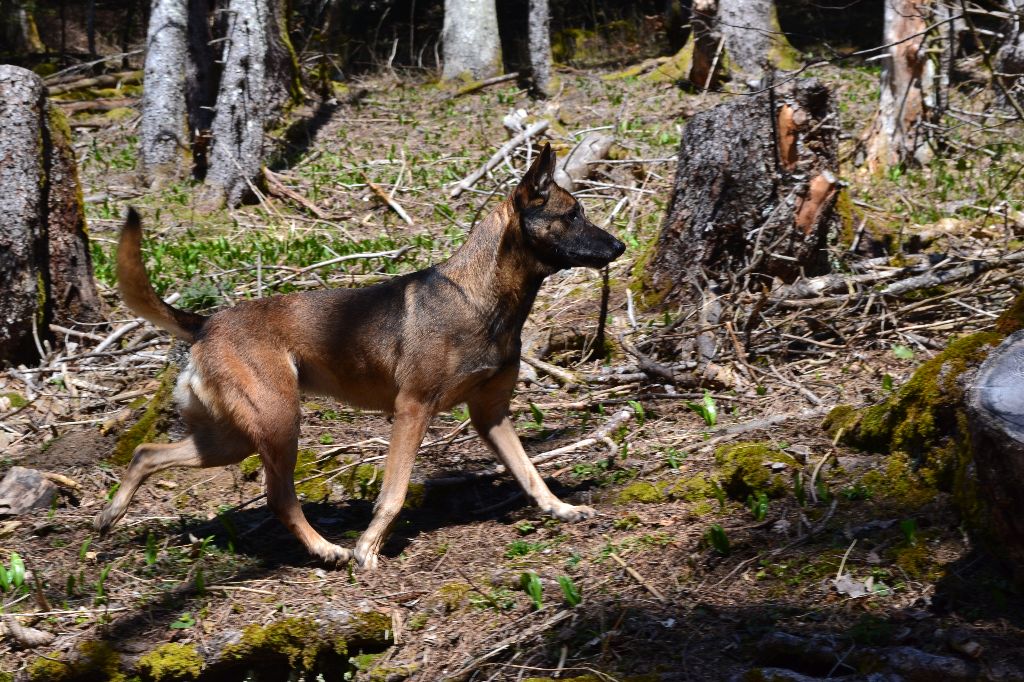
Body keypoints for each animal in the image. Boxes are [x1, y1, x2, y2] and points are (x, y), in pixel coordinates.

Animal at [96, 144, 622, 569]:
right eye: (573, 214)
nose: (619, 245)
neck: (482, 299)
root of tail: (206, 323)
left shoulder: (490, 415)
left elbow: (531, 474)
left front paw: (562, 509)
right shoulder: (412, 411)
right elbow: (393, 494)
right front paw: (368, 548)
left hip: (232, 439)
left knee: (147, 453)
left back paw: (109, 515)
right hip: (279, 423)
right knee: (279, 499)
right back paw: (327, 549)